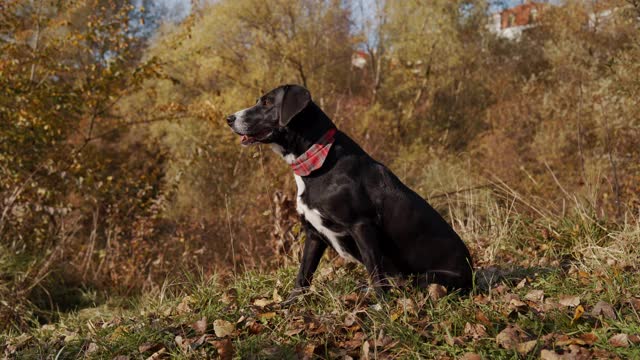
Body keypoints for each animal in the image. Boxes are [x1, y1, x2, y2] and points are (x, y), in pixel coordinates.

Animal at [228, 86, 472, 302]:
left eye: (267, 103)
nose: (229, 118)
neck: (317, 161)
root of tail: (471, 272)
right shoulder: (313, 234)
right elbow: (303, 274)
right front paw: (291, 304)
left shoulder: (361, 225)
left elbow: (374, 271)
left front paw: (383, 308)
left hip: (427, 278)